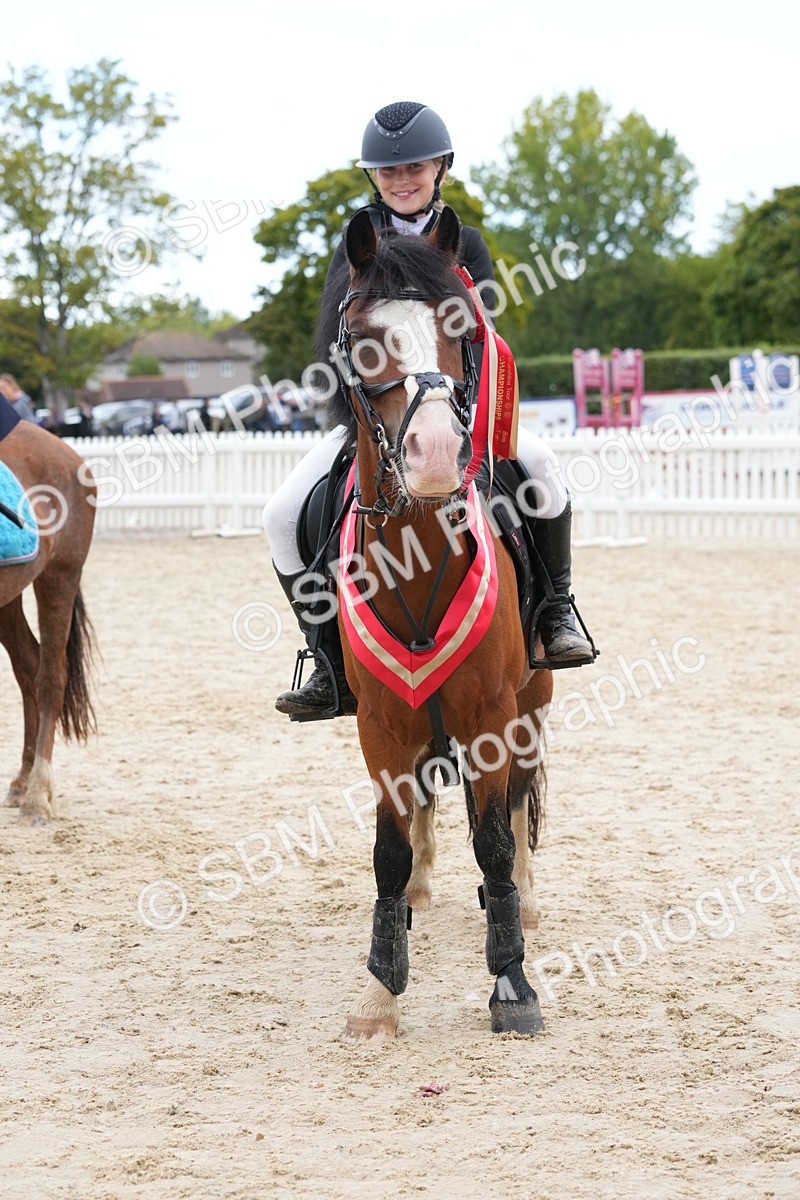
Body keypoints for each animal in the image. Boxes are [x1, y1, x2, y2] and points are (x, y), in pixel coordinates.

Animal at [315, 206, 554, 1039]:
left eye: (462, 328)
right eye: (361, 336)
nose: (437, 456)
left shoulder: (491, 714)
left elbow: (493, 837)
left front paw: (512, 982)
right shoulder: (381, 721)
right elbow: (386, 851)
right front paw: (379, 995)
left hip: (533, 705)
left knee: (516, 801)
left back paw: (526, 898)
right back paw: (422, 887)